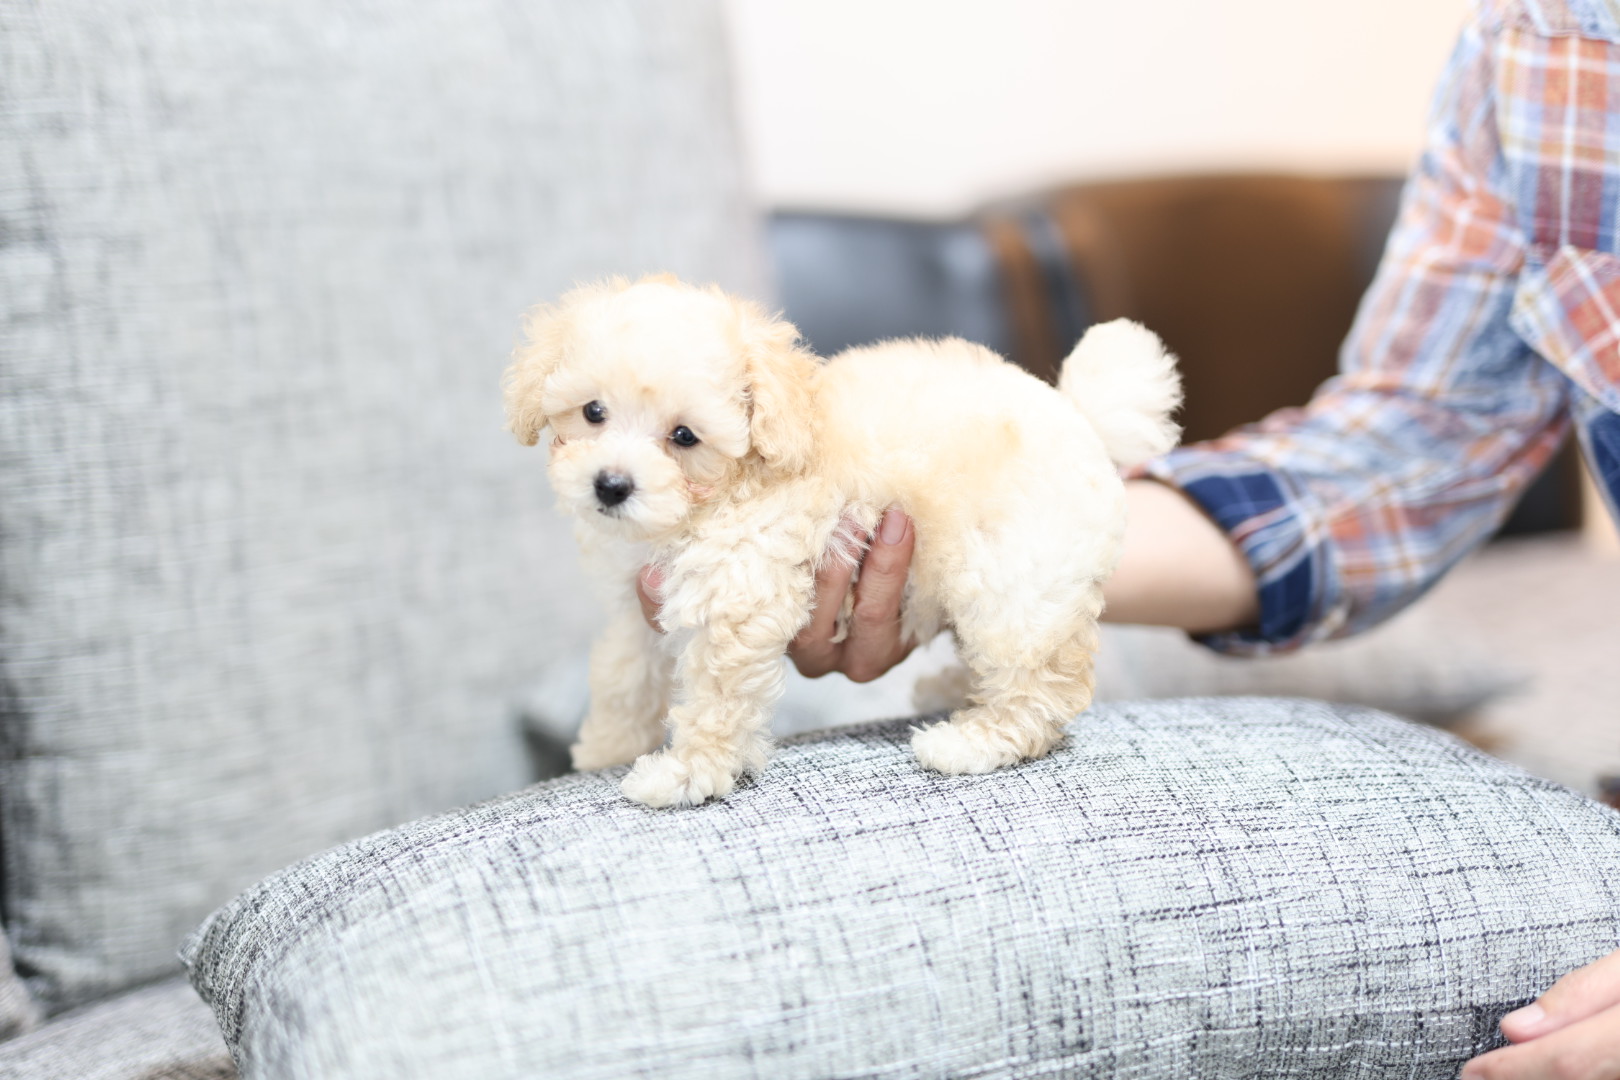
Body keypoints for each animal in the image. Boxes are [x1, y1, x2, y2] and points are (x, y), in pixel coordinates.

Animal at [505, 275, 1179, 806]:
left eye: (684, 436)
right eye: (592, 412)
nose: (611, 485)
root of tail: (1079, 415)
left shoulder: (738, 595)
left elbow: (717, 700)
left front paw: (685, 775)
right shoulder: (636, 602)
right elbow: (625, 676)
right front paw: (607, 748)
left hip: (1013, 582)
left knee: (1039, 689)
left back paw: (969, 741)